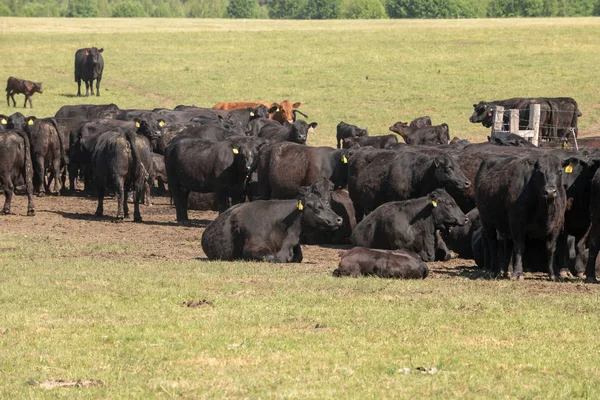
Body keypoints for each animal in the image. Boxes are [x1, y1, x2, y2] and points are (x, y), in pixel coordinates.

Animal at [474, 153, 568, 282]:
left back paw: (506, 271)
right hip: (487, 222)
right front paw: (518, 273)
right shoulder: (516, 223)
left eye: (559, 171)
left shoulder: (557, 225)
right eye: (540, 172)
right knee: (493, 244)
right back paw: (494, 270)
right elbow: (519, 247)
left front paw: (553, 274)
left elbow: (551, 248)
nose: (550, 192)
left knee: (507, 246)